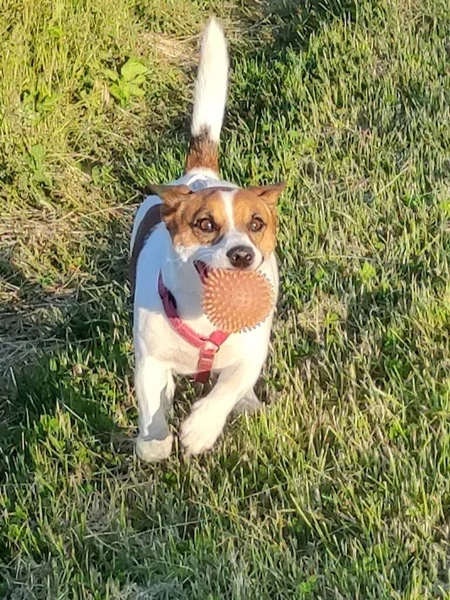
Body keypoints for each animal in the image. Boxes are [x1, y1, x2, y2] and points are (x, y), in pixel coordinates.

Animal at [130, 17, 284, 460]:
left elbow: (229, 386)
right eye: (204, 224)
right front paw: (154, 441)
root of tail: (201, 174)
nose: (242, 255)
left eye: (256, 224)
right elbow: (151, 396)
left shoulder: (251, 352)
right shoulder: (150, 357)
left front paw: (200, 428)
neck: (203, 317)